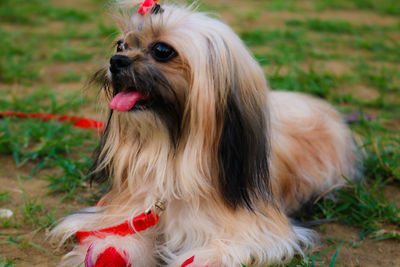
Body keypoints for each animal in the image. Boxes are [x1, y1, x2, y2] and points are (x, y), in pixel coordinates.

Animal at [50, 1, 360, 266]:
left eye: (162, 50)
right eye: (120, 44)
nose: (116, 61)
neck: (173, 153)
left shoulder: (257, 231)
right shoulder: (133, 211)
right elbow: (119, 236)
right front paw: (111, 251)